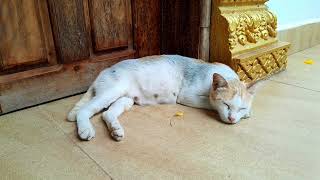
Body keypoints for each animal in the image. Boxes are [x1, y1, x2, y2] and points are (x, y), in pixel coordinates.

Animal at [66, 54, 258, 141]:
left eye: (241, 107)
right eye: (226, 104)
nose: (232, 119)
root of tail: (104, 71)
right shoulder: (187, 96)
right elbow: (210, 102)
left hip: (125, 99)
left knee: (107, 114)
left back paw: (115, 130)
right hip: (111, 92)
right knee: (84, 110)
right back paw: (85, 129)